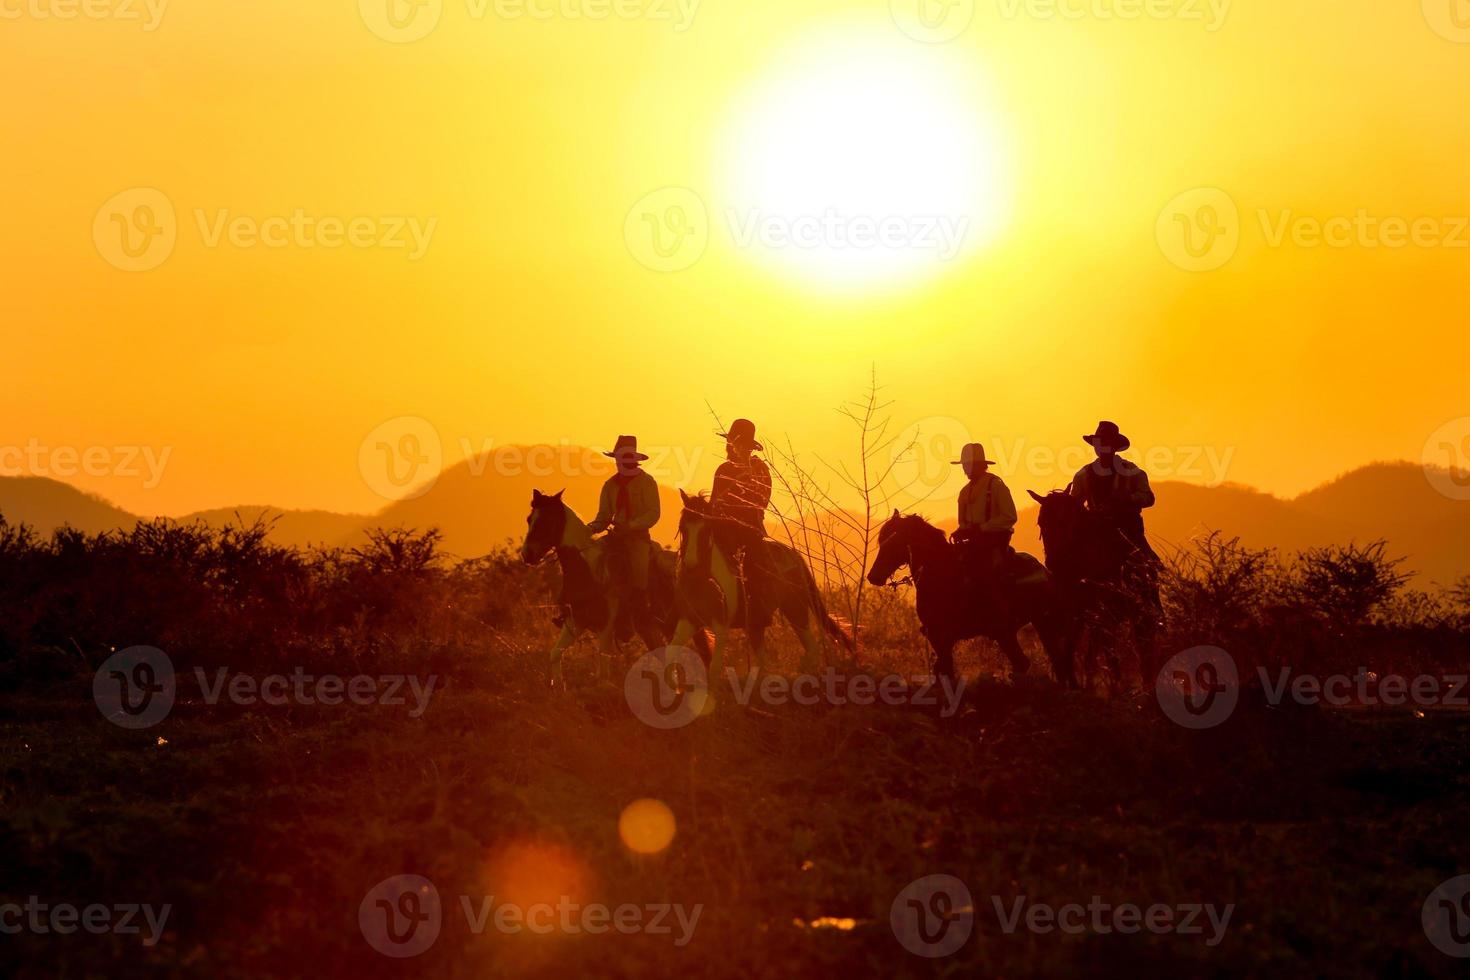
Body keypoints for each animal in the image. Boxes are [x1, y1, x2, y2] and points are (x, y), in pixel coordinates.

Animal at [523, 490, 687, 690]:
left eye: (546, 521)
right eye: (529, 519)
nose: (527, 554)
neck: (588, 569)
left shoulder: (607, 624)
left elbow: (603, 667)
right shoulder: (576, 620)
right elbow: (556, 652)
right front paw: (559, 687)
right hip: (646, 626)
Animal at [664, 490, 852, 681]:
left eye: (706, 529)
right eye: (683, 527)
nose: (690, 565)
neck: (703, 582)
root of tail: (794, 556)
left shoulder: (721, 627)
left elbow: (714, 670)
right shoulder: (688, 621)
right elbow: (670, 655)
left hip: (795, 608)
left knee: (811, 649)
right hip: (759, 625)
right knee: (765, 661)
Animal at [858, 511, 1070, 687]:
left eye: (894, 541)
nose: (873, 576)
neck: (941, 572)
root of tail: (1043, 571)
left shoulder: (940, 635)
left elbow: (945, 670)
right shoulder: (939, 636)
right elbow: (942, 670)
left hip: (1022, 627)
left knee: (1029, 661)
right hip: (1027, 627)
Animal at [1029, 487, 1164, 690]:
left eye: (1064, 520)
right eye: (1041, 522)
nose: (1053, 563)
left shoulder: (1103, 614)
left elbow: (1106, 652)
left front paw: (1116, 686)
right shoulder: (1077, 614)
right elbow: (1072, 646)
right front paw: (1076, 684)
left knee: (1142, 641)